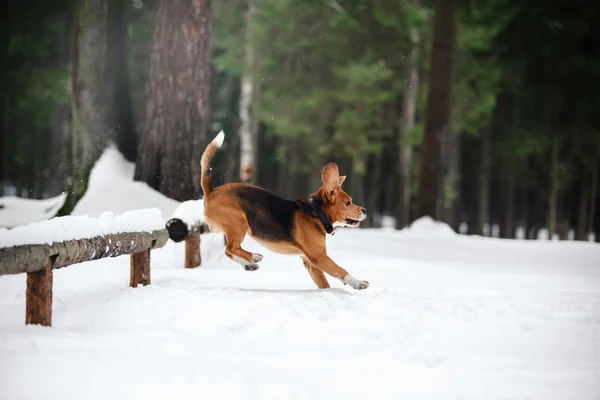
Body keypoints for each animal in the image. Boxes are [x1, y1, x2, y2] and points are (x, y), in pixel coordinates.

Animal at [202, 131, 370, 290]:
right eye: (348, 202)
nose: (365, 210)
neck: (316, 213)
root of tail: (212, 192)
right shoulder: (319, 257)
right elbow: (341, 270)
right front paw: (358, 283)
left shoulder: (310, 263)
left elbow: (324, 283)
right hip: (239, 222)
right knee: (231, 247)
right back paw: (254, 257)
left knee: (228, 251)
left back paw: (248, 264)